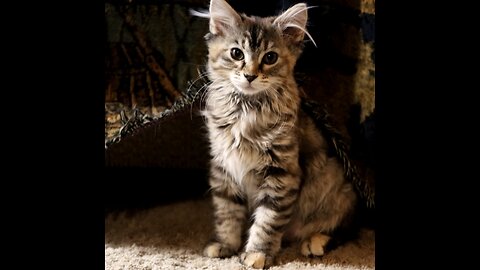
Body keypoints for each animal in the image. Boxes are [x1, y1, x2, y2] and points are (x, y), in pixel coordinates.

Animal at [195, 0, 356, 268]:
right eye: (236, 53)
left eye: (270, 57)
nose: (250, 75)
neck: (246, 109)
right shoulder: (223, 168)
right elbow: (227, 214)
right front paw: (226, 245)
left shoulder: (281, 173)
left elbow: (266, 221)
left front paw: (256, 254)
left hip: (337, 190)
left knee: (346, 228)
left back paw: (315, 242)